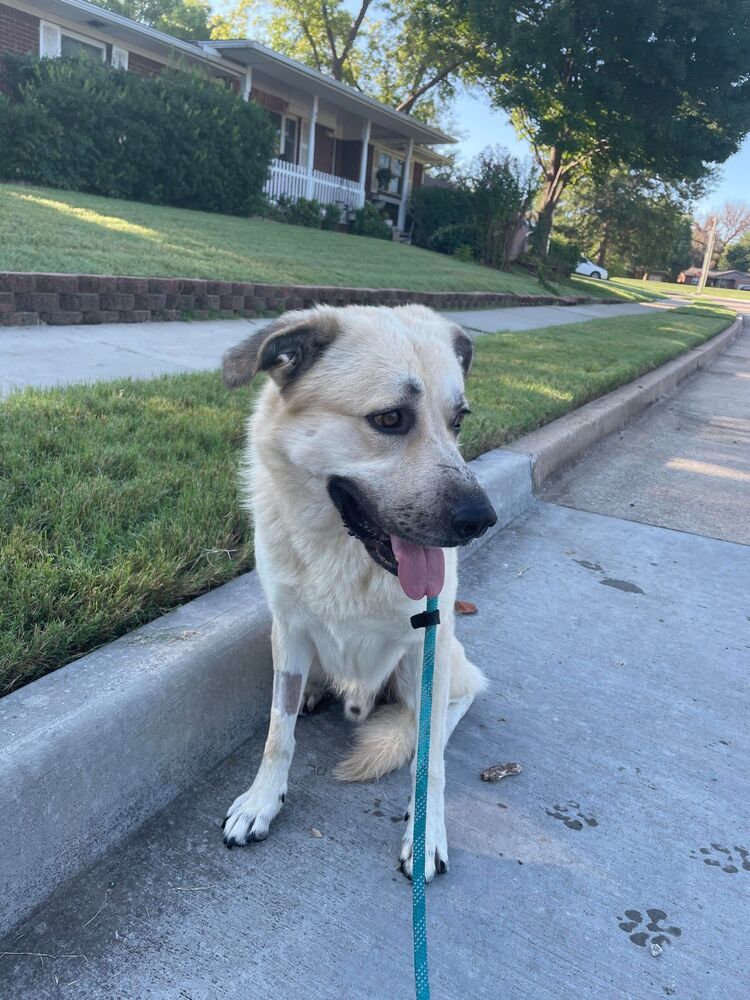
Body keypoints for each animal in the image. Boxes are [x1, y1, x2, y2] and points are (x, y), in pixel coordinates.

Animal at [220, 304, 496, 884]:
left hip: (433, 664)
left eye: (458, 421)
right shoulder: (289, 629)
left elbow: (432, 762)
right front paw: (262, 800)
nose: (483, 520)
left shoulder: (429, 642)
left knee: (450, 710)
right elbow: (278, 731)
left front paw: (426, 829)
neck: (345, 553)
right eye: (390, 419)